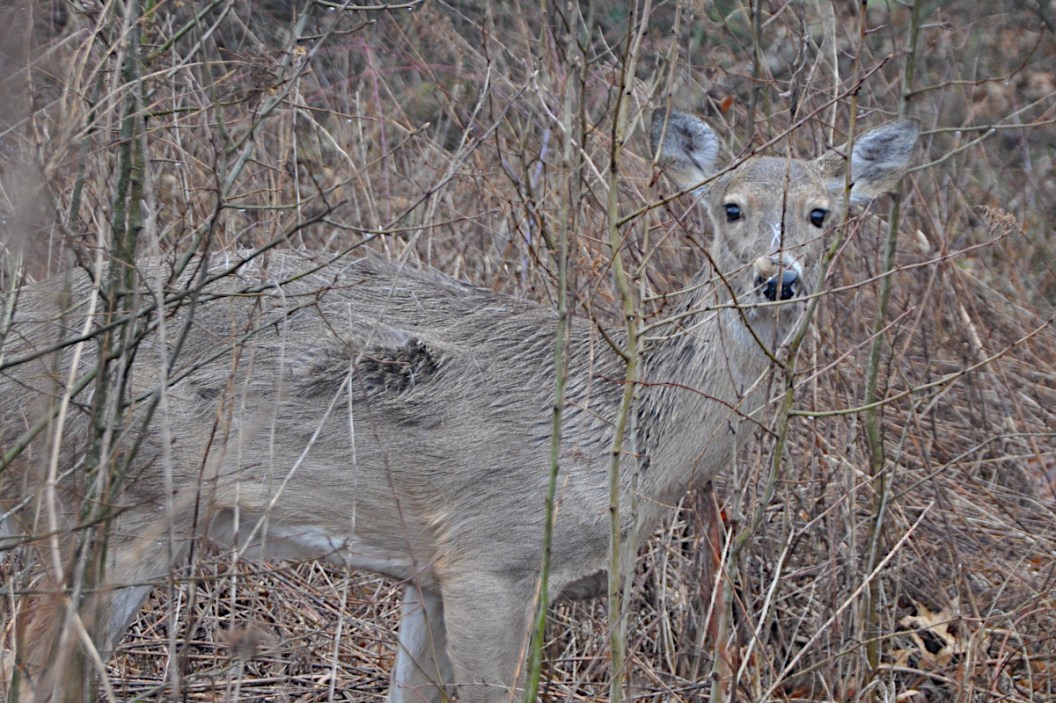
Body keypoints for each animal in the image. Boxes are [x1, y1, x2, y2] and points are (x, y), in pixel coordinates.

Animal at [2, 110, 916, 700]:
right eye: (731, 207)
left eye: (822, 213)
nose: (777, 278)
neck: (625, 439)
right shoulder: (490, 555)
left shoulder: (429, 569)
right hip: (99, 496)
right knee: (31, 661)